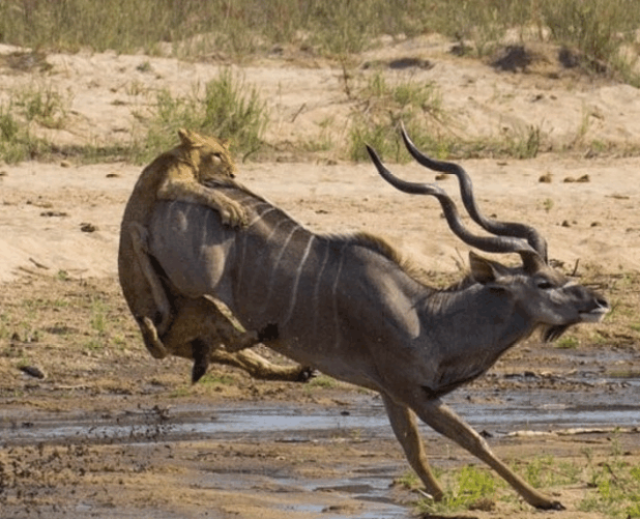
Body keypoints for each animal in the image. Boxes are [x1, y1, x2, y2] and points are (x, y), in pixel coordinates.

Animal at [141, 128, 608, 510]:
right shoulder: (413, 391)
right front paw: (544, 499)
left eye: (560, 273)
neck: (427, 317)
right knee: (159, 315)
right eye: (544, 283)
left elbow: (413, 448)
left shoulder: (390, 393)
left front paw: (439, 496)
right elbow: (472, 439)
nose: (599, 301)